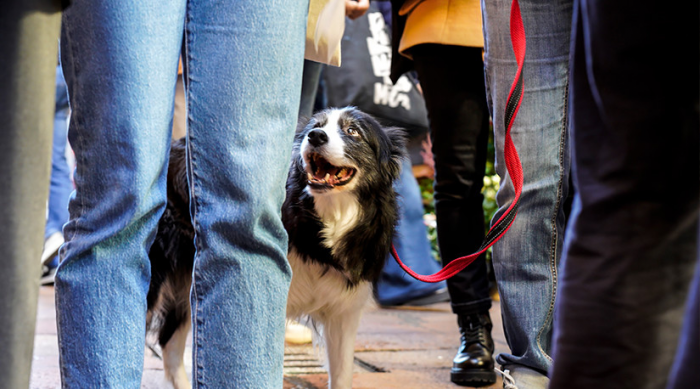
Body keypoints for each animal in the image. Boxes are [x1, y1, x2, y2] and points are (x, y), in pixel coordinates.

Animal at [149, 107, 404, 388]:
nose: (315, 136)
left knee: (169, 342)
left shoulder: (344, 312)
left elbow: (342, 374)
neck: (325, 226)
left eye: (353, 131)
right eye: (315, 126)